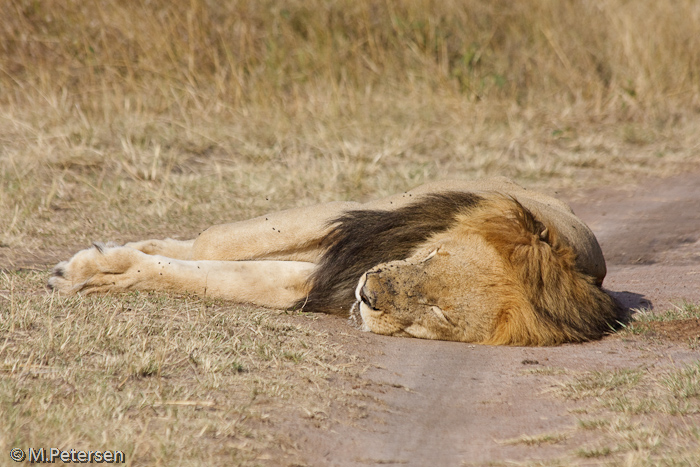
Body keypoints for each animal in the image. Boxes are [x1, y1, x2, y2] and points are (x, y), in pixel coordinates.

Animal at [47, 177, 616, 346]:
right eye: (436, 253)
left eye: (439, 316)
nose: (369, 295)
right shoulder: (352, 229)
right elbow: (213, 246)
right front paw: (87, 266)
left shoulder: (322, 279)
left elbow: (236, 278)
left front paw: (106, 274)